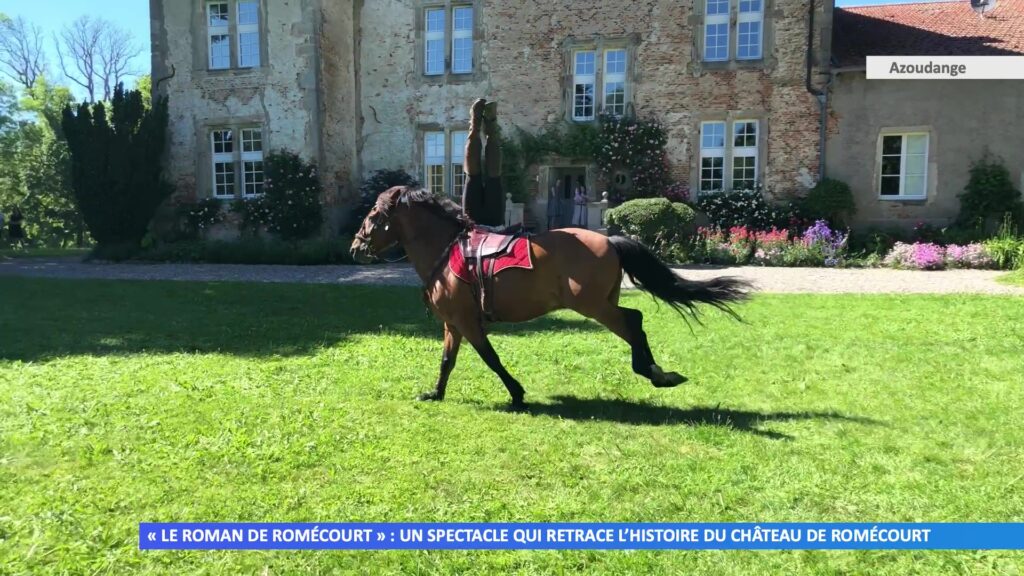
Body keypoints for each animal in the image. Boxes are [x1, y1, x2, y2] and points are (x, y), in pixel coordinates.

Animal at [352, 184, 753, 407]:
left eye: (373, 214)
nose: (355, 247)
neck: (447, 250)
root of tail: (610, 240)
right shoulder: (453, 323)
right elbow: (446, 362)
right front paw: (435, 394)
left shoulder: (467, 321)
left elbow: (491, 358)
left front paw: (516, 393)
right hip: (602, 302)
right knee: (635, 321)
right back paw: (656, 372)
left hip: (592, 306)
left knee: (632, 323)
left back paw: (652, 372)